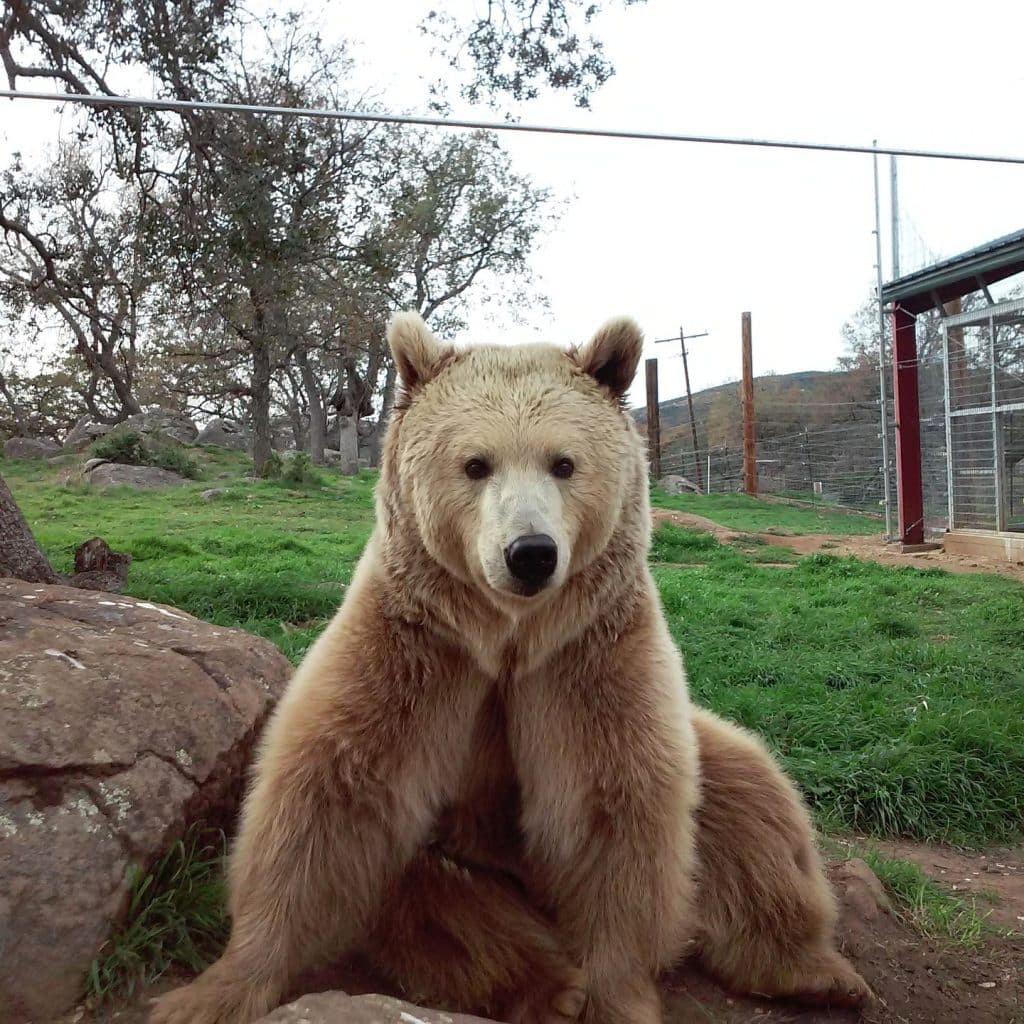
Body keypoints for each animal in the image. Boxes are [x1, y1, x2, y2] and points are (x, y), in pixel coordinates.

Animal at [151, 313, 870, 1024]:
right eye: (475, 463)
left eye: (564, 462)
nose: (530, 553)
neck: (508, 636)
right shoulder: (417, 647)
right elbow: (328, 792)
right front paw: (214, 989)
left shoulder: (586, 657)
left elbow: (612, 810)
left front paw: (614, 994)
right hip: (446, 863)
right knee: (445, 909)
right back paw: (551, 988)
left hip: (704, 747)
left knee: (753, 800)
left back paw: (815, 971)